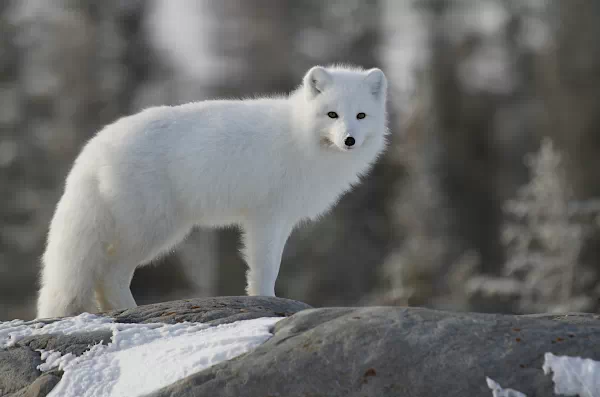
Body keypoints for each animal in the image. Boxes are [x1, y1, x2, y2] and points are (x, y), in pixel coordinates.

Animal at [36, 65, 390, 318]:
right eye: (332, 114)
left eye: (361, 116)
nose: (349, 140)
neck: (300, 137)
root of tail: (95, 147)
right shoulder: (266, 217)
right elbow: (265, 268)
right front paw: (268, 302)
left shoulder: (282, 219)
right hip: (154, 230)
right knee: (109, 275)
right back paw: (133, 312)